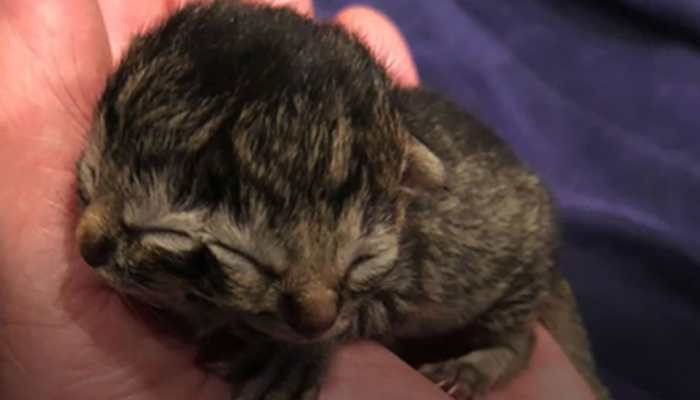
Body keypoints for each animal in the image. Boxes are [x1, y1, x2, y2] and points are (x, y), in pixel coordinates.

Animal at [75, 1, 608, 398]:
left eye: (361, 260)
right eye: (92, 174)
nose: (87, 247)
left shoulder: (400, 276)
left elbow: (367, 310)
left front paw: (293, 354)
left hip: (518, 274)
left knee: (522, 338)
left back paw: (480, 363)